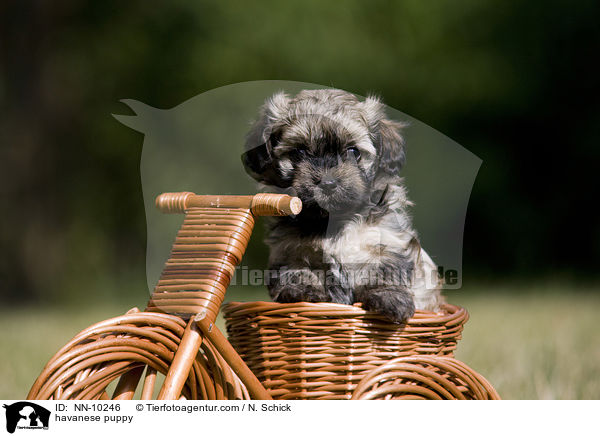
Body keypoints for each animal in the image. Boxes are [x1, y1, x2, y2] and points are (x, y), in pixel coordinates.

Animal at [241, 88, 442, 322]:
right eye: (298, 152)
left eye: (353, 152)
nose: (328, 183)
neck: (334, 220)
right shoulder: (288, 250)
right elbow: (295, 271)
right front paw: (302, 291)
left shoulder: (388, 239)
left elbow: (386, 269)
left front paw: (390, 298)